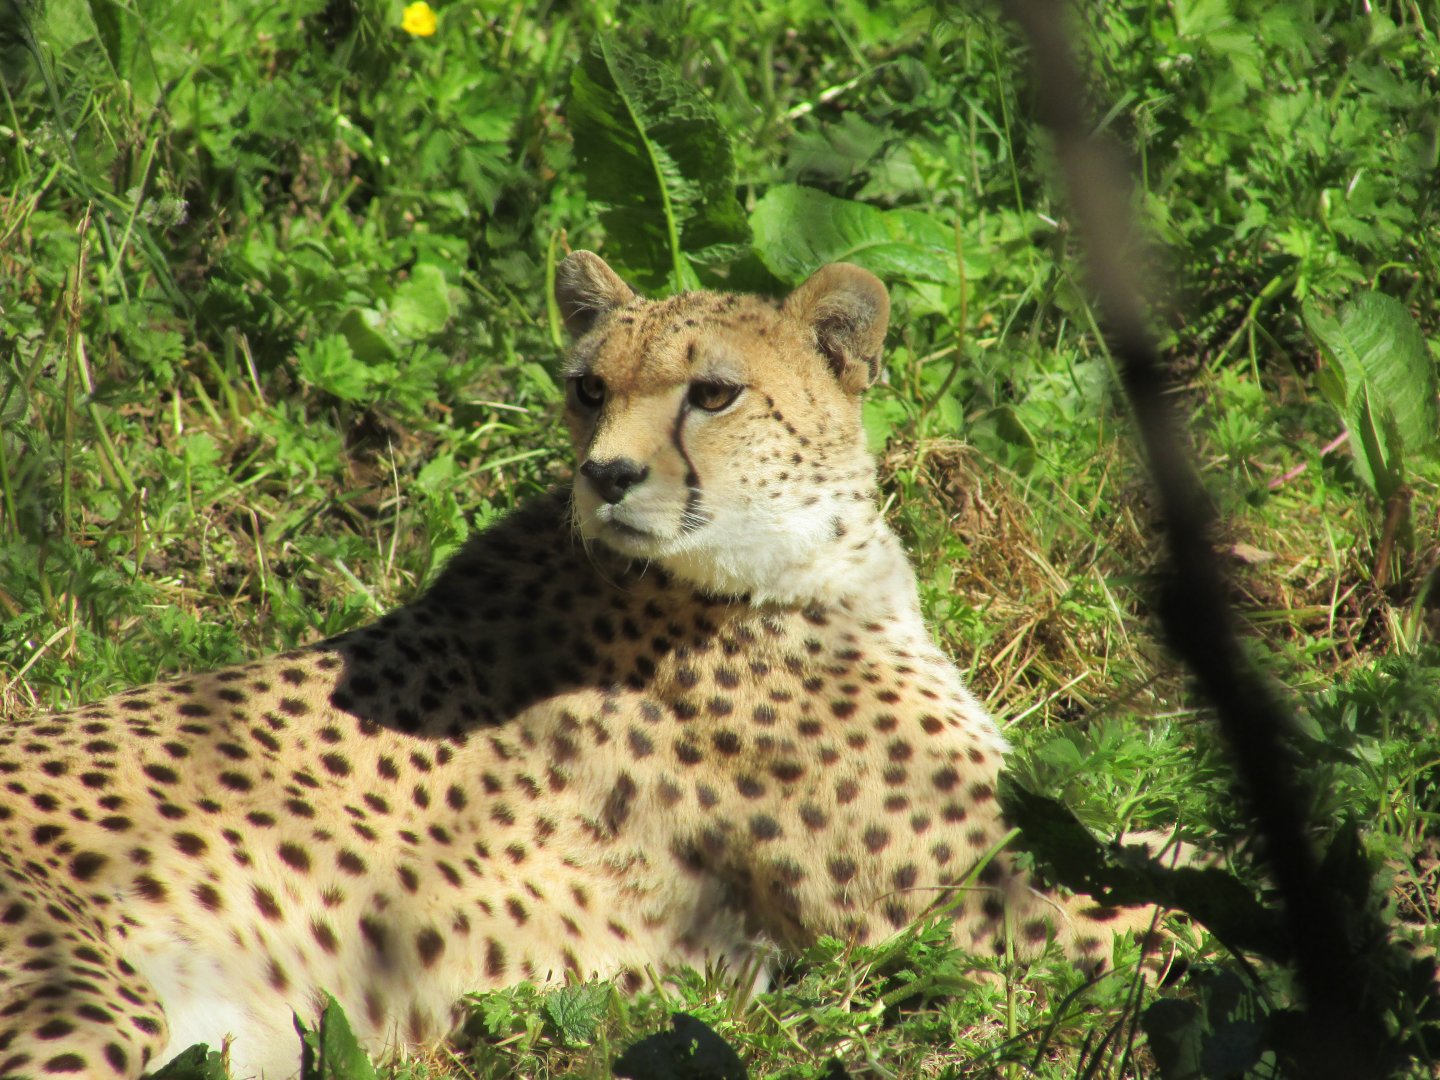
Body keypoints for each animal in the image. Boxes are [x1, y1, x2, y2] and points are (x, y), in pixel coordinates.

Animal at [0, 252, 1155, 1079]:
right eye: (589, 387)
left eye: (714, 394)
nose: (608, 474)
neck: (792, 559)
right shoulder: (975, 902)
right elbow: (1161, 909)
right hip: (90, 1008)